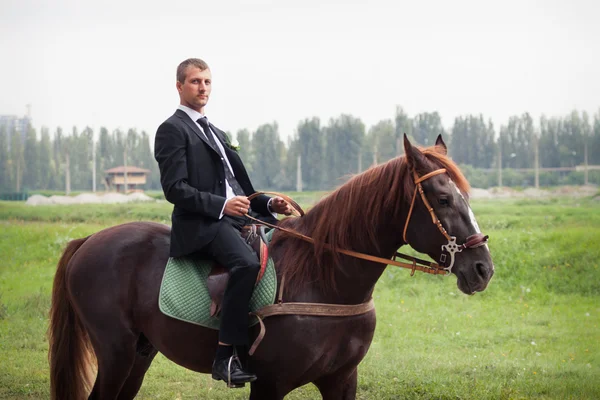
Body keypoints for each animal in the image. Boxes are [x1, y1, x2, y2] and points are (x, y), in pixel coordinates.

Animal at [49, 135, 494, 400]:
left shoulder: (342, 379)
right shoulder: (269, 385)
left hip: (140, 354)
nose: (482, 269)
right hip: (116, 352)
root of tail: (88, 240)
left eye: (465, 195)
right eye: (442, 199)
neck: (323, 279)